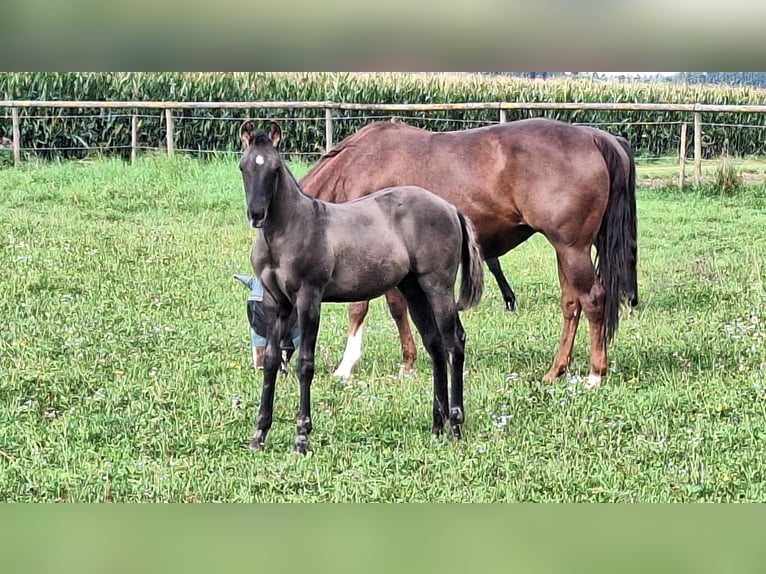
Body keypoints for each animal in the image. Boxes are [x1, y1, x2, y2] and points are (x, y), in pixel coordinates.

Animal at [238, 121, 484, 453]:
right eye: (243, 167)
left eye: (275, 169)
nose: (257, 214)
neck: (292, 229)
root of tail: (450, 207)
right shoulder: (277, 303)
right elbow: (272, 363)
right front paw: (259, 434)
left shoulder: (308, 297)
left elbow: (305, 363)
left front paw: (302, 437)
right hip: (414, 290)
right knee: (434, 345)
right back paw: (437, 425)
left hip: (438, 287)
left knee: (453, 343)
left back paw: (455, 424)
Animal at [300, 117, 638, 388]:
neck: (353, 170)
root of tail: (592, 136)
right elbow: (397, 308)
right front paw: (408, 364)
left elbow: (359, 308)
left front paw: (346, 367)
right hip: (565, 249)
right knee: (571, 304)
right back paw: (555, 371)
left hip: (572, 248)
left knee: (592, 299)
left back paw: (595, 375)